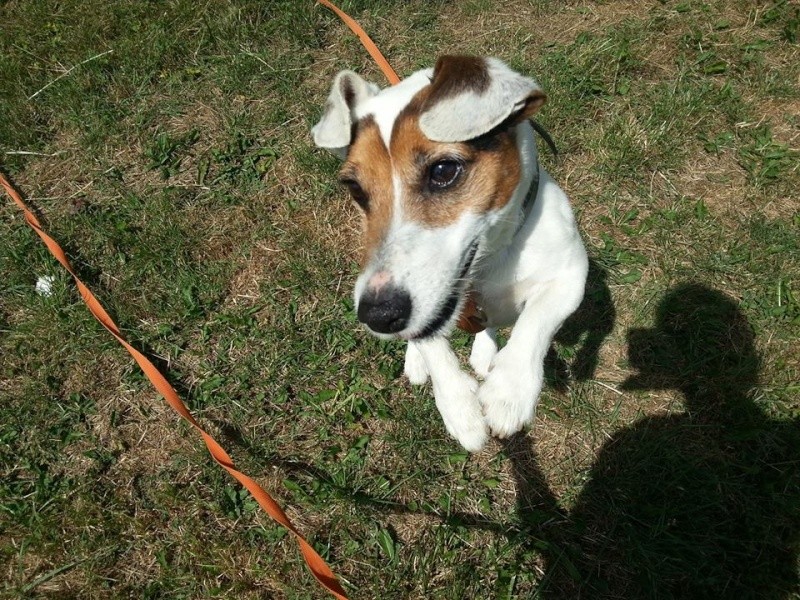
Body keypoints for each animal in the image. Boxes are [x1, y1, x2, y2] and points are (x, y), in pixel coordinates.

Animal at [312, 55, 588, 450]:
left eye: (443, 170)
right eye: (355, 189)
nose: (378, 315)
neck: (487, 266)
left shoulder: (570, 274)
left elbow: (537, 320)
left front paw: (510, 390)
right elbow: (431, 343)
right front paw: (458, 406)